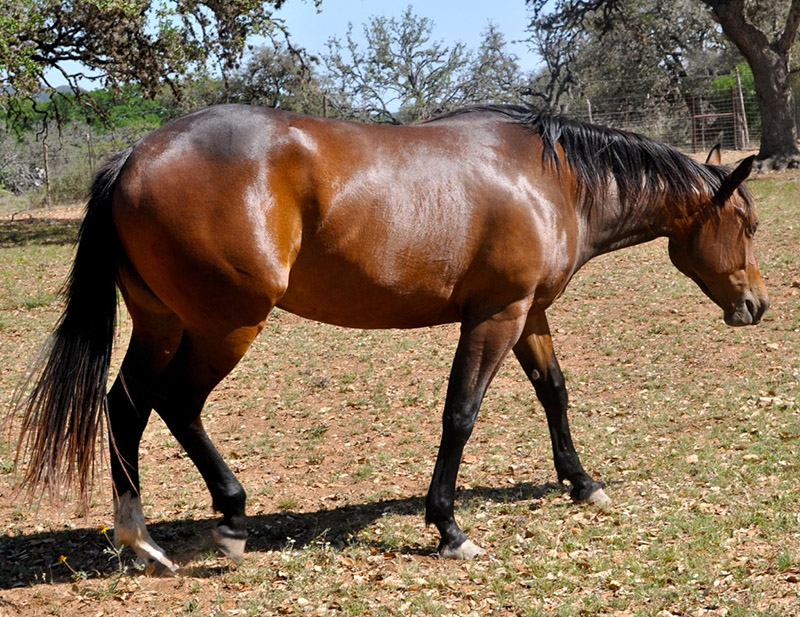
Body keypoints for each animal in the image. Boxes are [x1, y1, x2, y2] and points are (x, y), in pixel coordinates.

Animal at [7, 103, 768, 572]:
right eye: (748, 225)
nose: (757, 304)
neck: (550, 180)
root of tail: (136, 152)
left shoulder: (528, 313)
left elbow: (554, 392)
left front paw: (582, 483)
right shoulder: (494, 316)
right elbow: (461, 413)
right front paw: (450, 527)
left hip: (163, 322)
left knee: (126, 406)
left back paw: (140, 541)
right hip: (227, 324)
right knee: (176, 404)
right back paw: (228, 518)